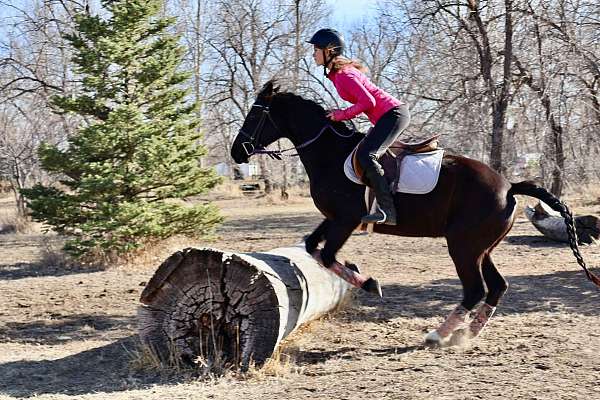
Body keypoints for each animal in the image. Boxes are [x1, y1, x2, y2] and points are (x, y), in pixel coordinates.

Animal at [230, 79, 600, 346]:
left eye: (255, 114)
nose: (237, 152)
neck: (329, 153)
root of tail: (508, 186)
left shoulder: (346, 220)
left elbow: (327, 254)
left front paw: (370, 284)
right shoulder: (335, 219)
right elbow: (313, 247)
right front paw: (360, 275)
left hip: (463, 246)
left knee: (475, 289)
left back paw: (439, 334)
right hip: (482, 248)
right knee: (496, 286)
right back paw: (466, 334)